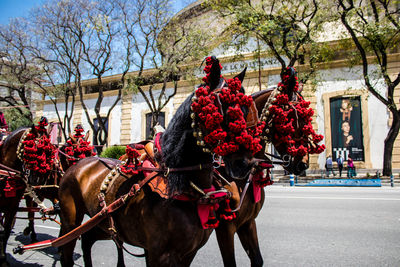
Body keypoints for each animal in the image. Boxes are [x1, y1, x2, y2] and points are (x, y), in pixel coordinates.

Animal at [55, 57, 256, 266]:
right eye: (224, 108)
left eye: (246, 111)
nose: (245, 163)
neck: (183, 184)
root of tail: (77, 164)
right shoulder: (156, 254)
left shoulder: (189, 253)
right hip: (71, 222)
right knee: (67, 250)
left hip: (101, 222)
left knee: (87, 239)